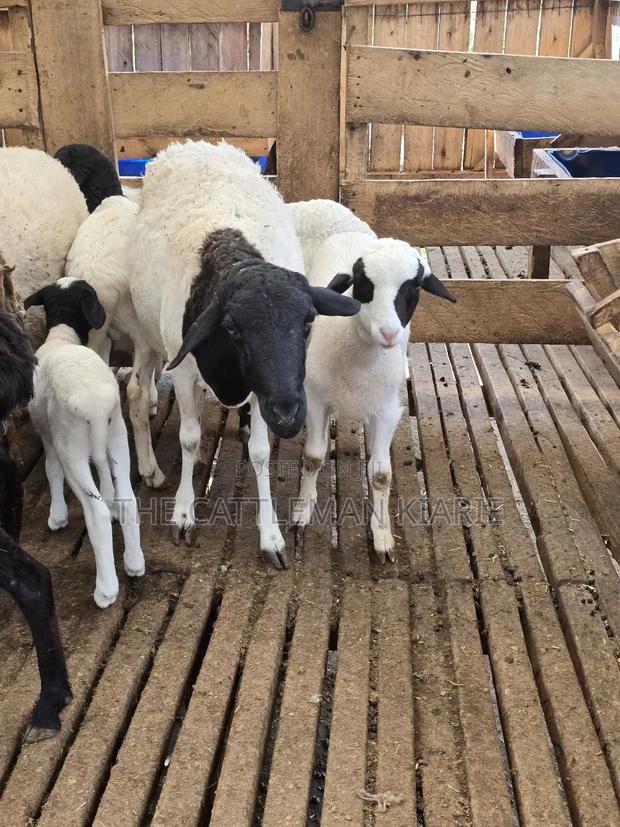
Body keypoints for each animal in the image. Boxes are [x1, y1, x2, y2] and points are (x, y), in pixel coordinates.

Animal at [24, 278, 145, 608]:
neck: (63, 336)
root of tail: (95, 406)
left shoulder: (48, 433)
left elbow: (51, 470)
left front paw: (57, 516)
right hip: (117, 435)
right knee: (127, 499)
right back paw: (134, 563)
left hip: (73, 450)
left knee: (97, 513)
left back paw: (106, 589)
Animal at [126, 140, 360, 567]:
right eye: (233, 329)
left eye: (308, 322)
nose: (287, 413)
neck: (235, 259)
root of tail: (194, 145)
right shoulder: (183, 371)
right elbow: (188, 438)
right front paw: (183, 514)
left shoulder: (259, 389)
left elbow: (262, 452)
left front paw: (271, 535)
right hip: (146, 331)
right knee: (137, 393)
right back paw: (151, 468)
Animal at [293, 230, 456, 561]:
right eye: (363, 283)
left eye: (414, 288)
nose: (390, 333)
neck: (362, 362)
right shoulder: (315, 398)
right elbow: (313, 457)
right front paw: (303, 510)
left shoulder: (386, 411)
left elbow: (381, 475)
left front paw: (382, 536)